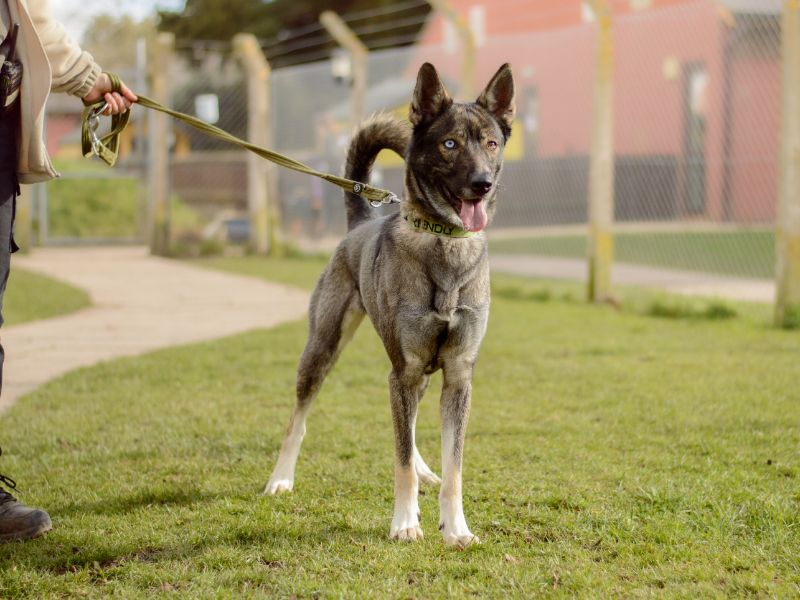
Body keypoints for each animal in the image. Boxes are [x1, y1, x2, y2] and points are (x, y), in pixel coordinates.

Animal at [266, 62, 516, 548]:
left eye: (491, 143)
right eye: (450, 144)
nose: (483, 184)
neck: (445, 243)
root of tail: (361, 219)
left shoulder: (456, 377)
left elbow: (454, 467)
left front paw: (456, 528)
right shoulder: (402, 371)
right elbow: (400, 460)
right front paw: (404, 523)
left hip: (414, 377)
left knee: (413, 429)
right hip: (323, 349)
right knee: (298, 420)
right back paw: (280, 479)